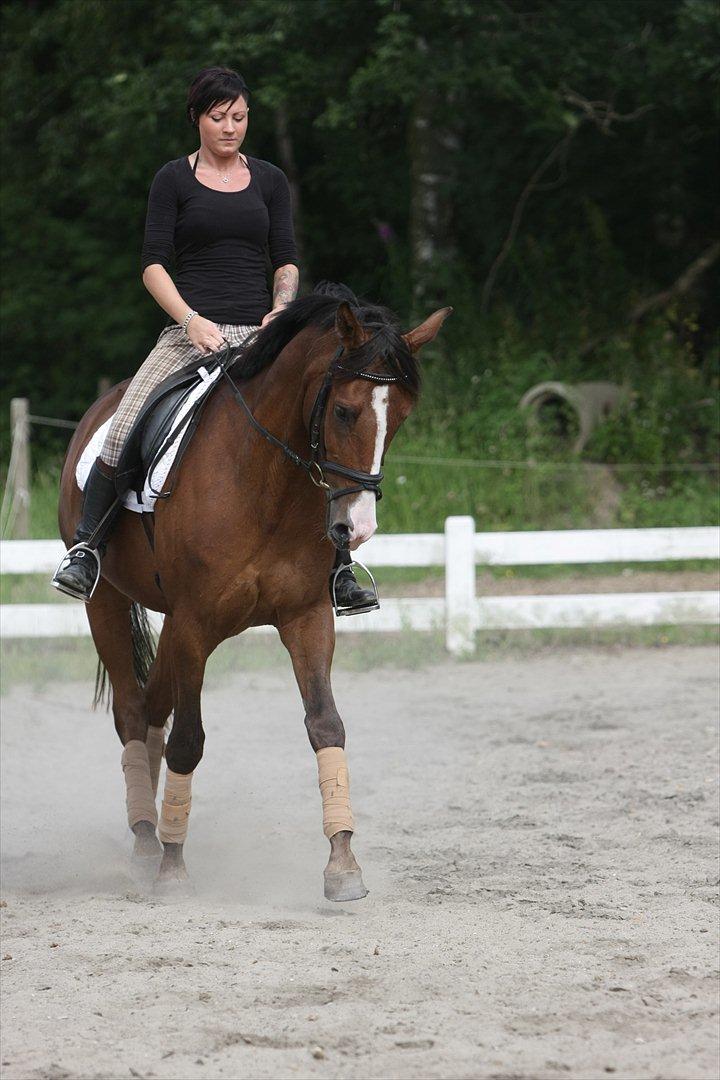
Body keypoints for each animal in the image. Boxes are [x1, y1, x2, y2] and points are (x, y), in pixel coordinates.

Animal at [57, 289, 451, 902]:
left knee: (152, 707)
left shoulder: (306, 616)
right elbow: (189, 741)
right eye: (345, 411)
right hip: (109, 603)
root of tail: (103, 407)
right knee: (131, 711)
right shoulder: (194, 621)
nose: (357, 528)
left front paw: (343, 865)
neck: (267, 479)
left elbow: (326, 725)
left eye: (402, 418)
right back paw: (146, 842)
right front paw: (173, 868)